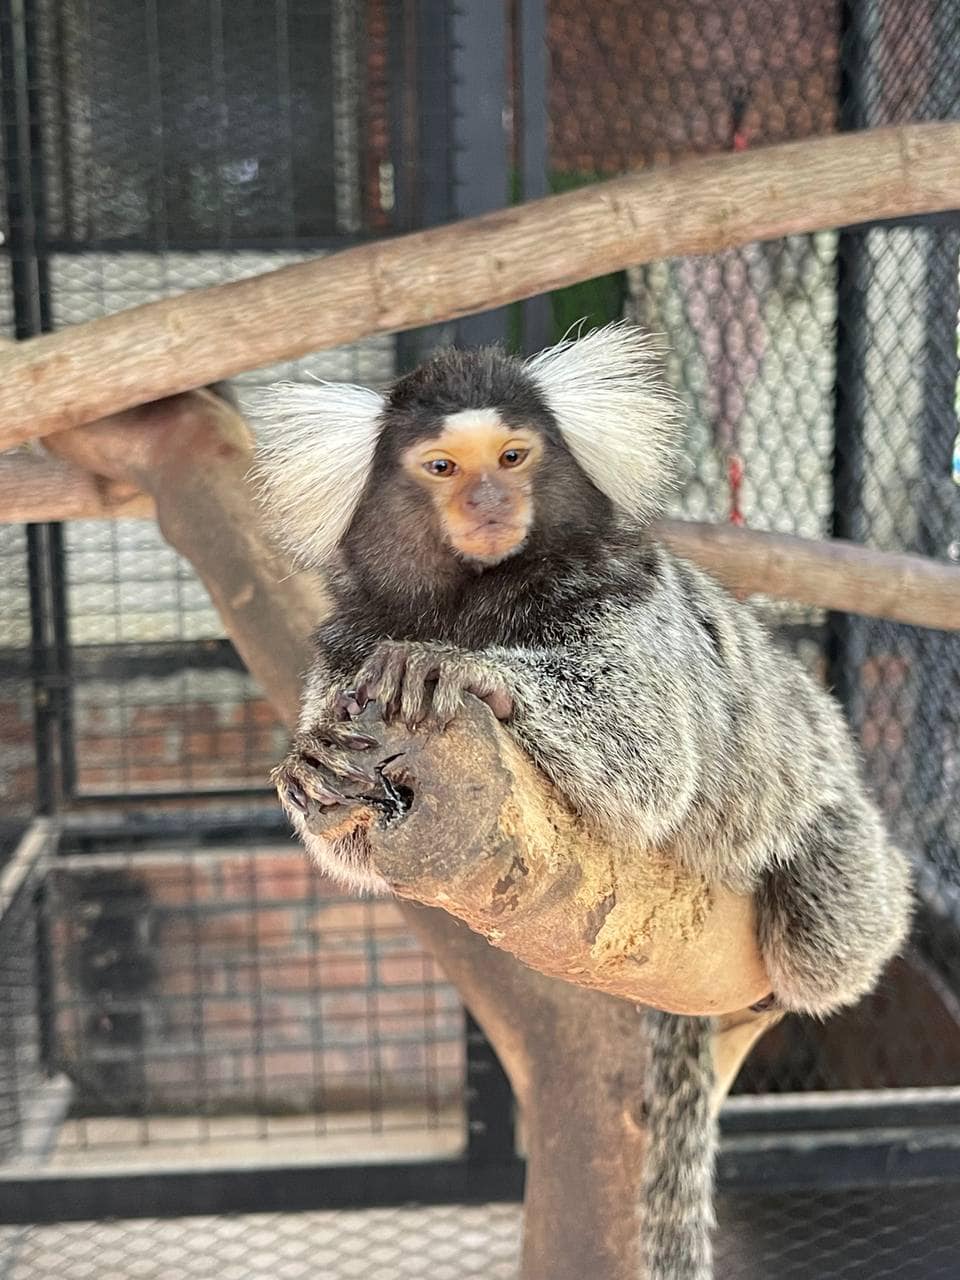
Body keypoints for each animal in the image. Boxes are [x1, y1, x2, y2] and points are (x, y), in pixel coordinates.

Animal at [254, 324, 912, 1280]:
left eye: (514, 456)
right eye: (443, 467)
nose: (492, 500)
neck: (469, 601)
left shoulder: (623, 602)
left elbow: (648, 751)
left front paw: (468, 673)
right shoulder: (349, 650)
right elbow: (350, 831)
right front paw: (311, 771)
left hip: (832, 829)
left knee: (826, 935)